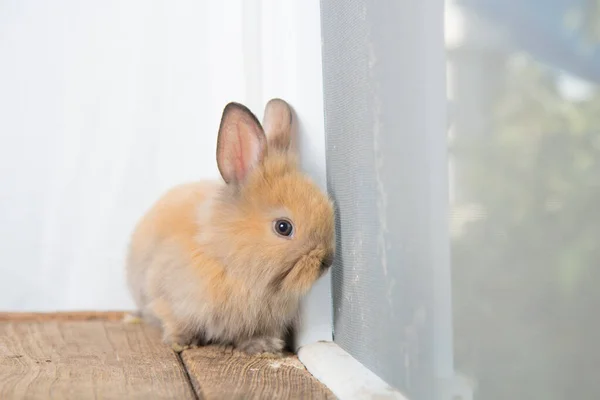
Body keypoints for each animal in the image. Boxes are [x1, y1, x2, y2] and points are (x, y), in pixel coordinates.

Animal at [125, 98, 336, 354]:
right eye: (283, 227)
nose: (328, 261)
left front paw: (263, 346)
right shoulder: (168, 299)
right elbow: (176, 322)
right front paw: (181, 341)